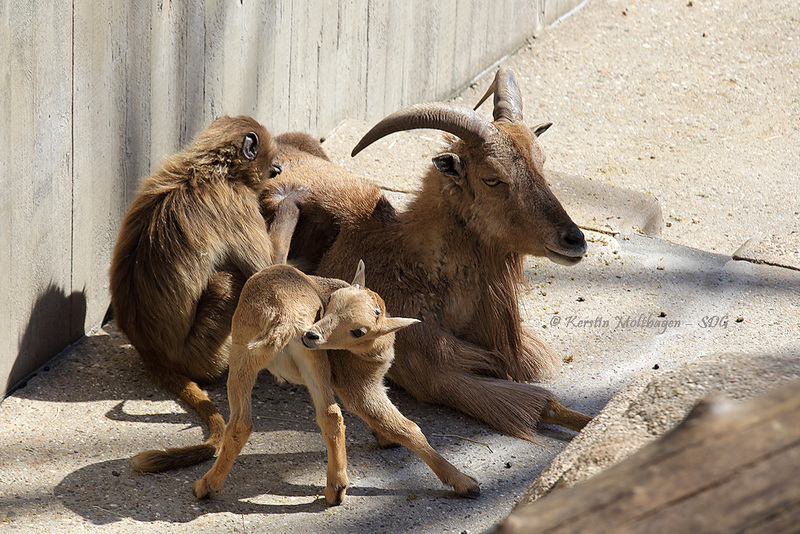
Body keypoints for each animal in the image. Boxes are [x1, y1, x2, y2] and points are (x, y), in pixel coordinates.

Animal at [192, 262, 482, 506]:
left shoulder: (357, 385)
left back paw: (206, 485)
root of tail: (285, 316)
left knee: (241, 423)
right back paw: (338, 488)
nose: (313, 335)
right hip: (313, 361)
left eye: (358, 330)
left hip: (244, 355)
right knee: (333, 415)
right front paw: (385, 438)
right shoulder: (366, 383)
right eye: (331, 301)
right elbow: (395, 423)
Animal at [260, 69, 588, 442]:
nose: (575, 239)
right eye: (492, 178)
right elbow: (541, 405)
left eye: (541, 162)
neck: (418, 269)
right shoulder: (438, 374)